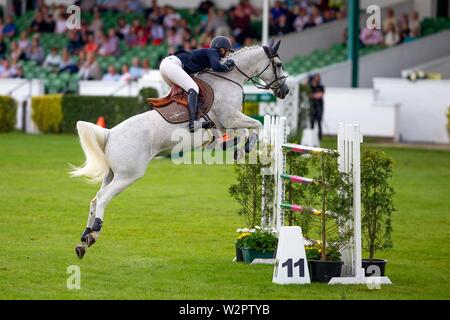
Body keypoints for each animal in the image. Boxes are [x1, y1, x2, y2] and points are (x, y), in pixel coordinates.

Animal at [70, 40, 288, 260]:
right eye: (278, 64)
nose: (285, 91)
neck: (229, 79)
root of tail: (109, 133)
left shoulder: (225, 126)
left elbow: (242, 132)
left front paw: (237, 148)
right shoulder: (230, 118)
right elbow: (255, 126)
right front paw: (244, 149)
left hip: (112, 174)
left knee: (95, 199)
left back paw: (85, 239)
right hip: (128, 175)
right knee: (103, 198)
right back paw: (93, 233)